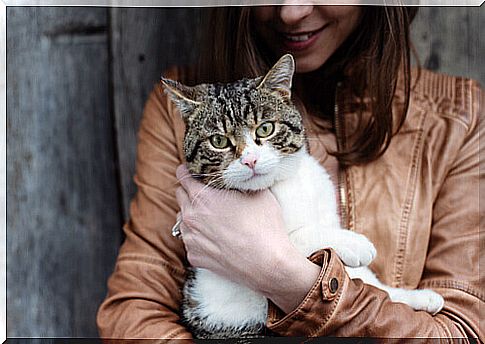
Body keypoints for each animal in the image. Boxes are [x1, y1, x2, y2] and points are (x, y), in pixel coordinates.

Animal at [161, 55, 444, 340]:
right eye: (218, 141)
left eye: (265, 128)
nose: (250, 160)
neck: (284, 185)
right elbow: (295, 238)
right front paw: (354, 243)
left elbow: (363, 278)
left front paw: (413, 297)